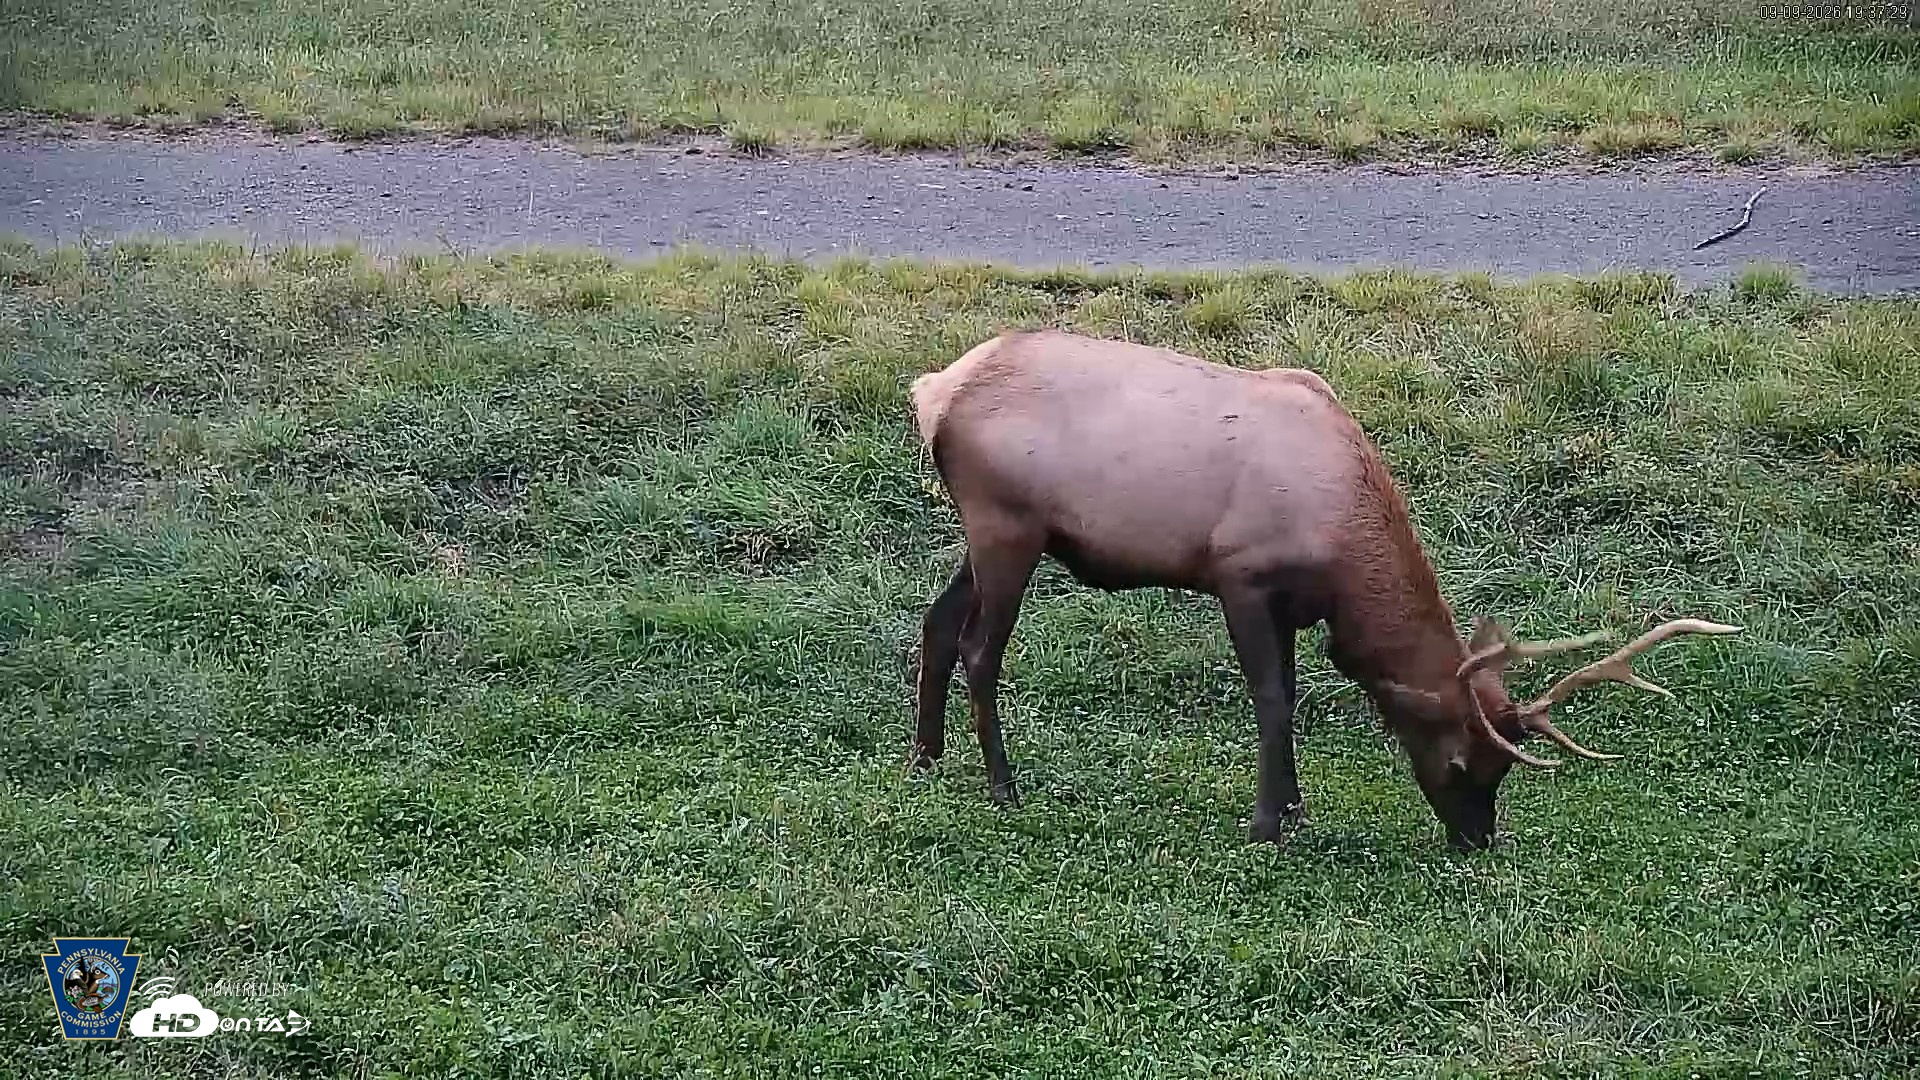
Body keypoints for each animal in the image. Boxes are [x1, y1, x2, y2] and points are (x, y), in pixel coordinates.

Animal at [906, 329, 1740, 850]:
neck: (1341, 545)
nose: (1476, 840)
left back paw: (925, 758)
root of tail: (933, 392)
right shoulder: (1240, 574)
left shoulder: (1291, 606)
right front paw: (1266, 825)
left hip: (993, 533)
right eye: (1463, 764)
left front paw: (1294, 809)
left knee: (937, 621)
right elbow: (1273, 698)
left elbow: (1294, 694)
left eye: (1503, 770)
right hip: (1007, 524)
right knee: (981, 647)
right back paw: (1003, 787)